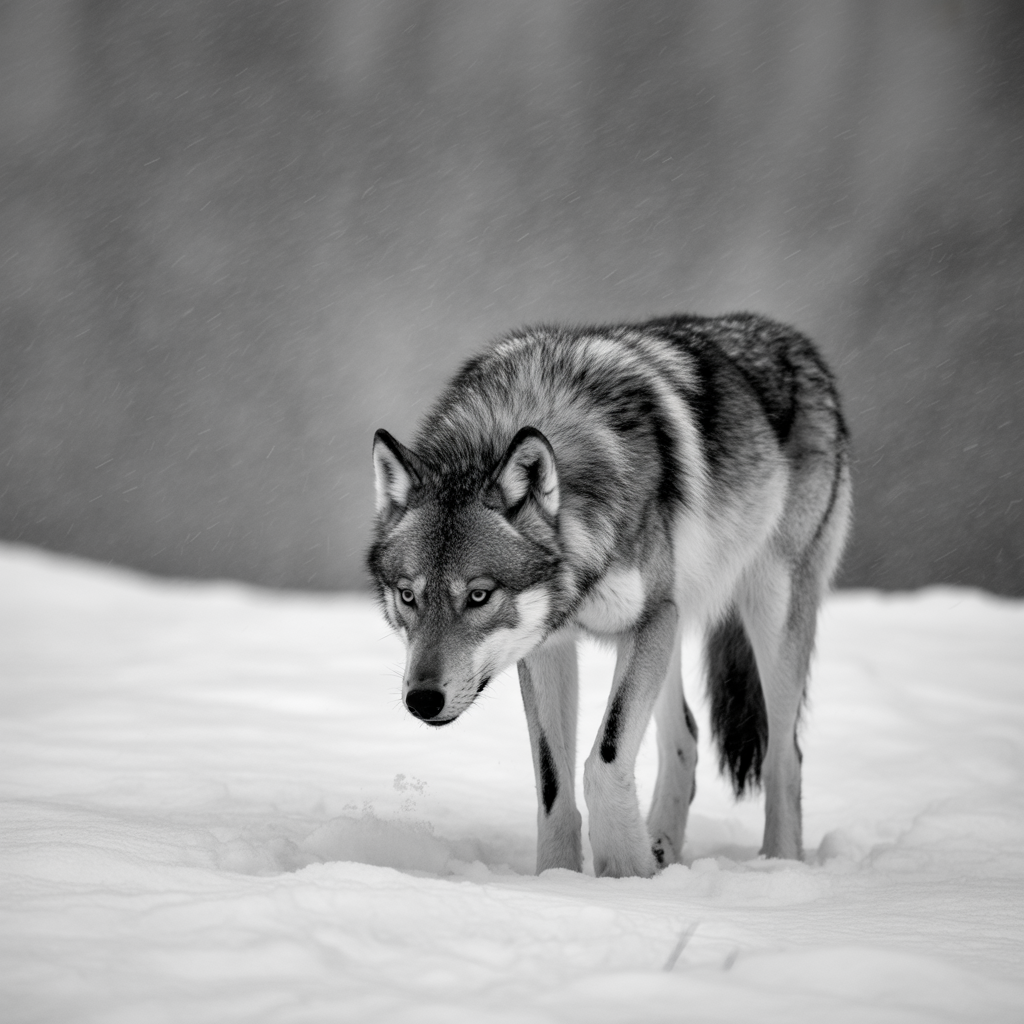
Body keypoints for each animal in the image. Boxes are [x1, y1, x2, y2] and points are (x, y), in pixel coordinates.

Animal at [367, 313, 850, 877]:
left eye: (479, 596)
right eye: (408, 596)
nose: (422, 700)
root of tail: (790, 338)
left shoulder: (647, 620)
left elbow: (605, 757)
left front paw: (625, 873)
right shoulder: (551, 646)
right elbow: (552, 781)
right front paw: (559, 878)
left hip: (766, 609)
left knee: (784, 753)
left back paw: (779, 866)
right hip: (676, 624)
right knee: (687, 737)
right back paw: (663, 849)